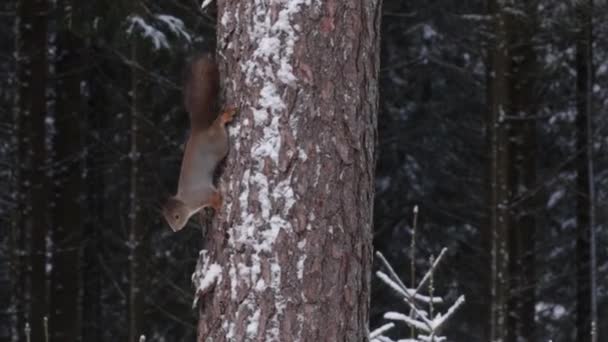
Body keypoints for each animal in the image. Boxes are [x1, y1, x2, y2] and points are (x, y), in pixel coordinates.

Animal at [160, 54, 236, 232]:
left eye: (176, 216)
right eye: (167, 219)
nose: (175, 230)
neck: (188, 202)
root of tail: (199, 132)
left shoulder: (202, 195)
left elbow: (214, 197)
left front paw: (219, 205)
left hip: (219, 144)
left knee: (219, 128)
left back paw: (224, 117)